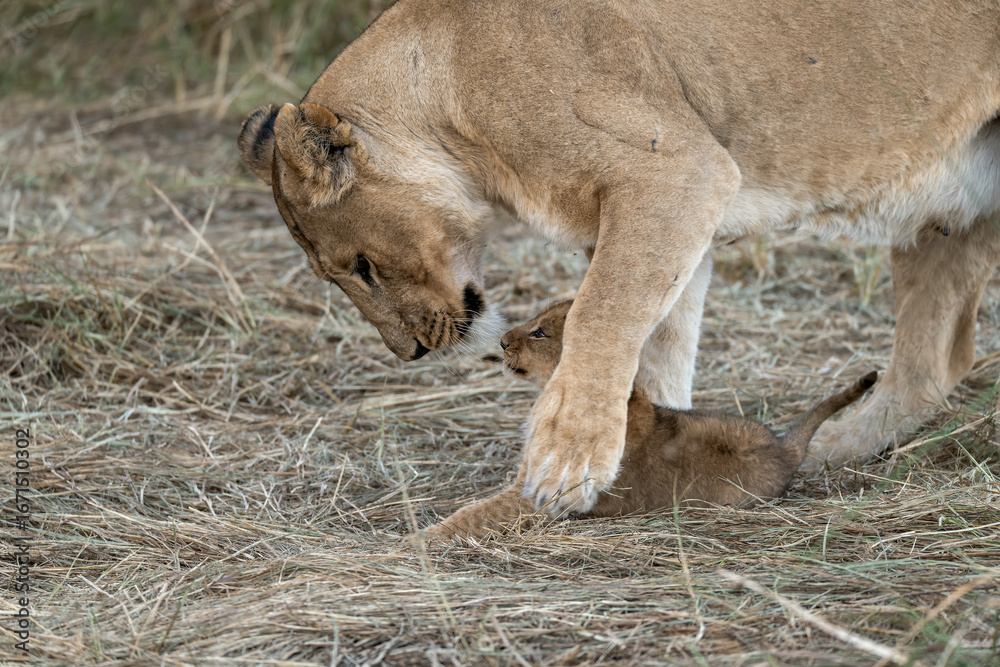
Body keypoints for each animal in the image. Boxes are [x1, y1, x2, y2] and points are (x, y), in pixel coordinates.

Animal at [424, 301, 877, 539]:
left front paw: (420, 541)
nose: (501, 342)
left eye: (539, 333)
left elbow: (475, 514)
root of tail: (784, 449)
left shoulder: (543, 492)